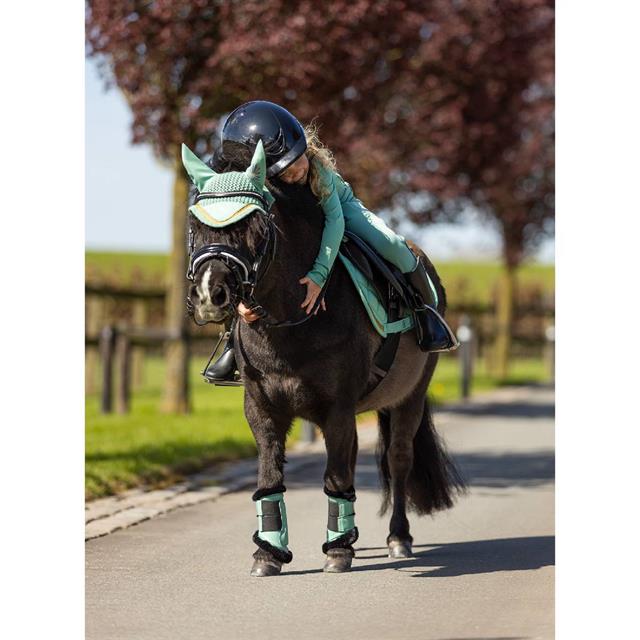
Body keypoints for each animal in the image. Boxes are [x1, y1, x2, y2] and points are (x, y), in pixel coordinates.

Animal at [183, 141, 465, 576]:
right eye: (196, 227)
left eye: (256, 226)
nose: (209, 295)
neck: (287, 325)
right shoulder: (261, 408)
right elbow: (269, 477)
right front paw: (268, 552)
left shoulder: (338, 409)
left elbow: (336, 477)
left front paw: (337, 551)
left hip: (410, 397)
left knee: (398, 459)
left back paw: (397, 538)